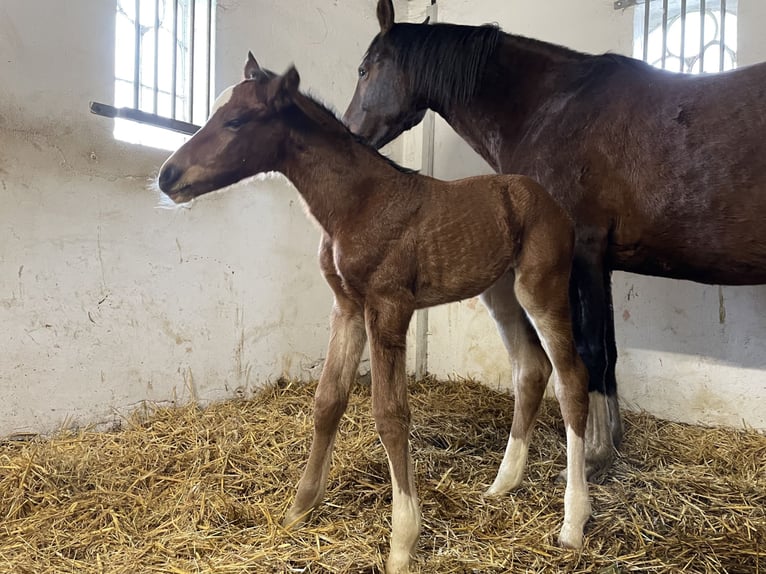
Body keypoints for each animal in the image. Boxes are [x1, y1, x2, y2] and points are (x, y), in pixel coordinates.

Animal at [344, 0, 766, 482]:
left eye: (363, 69)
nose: (348, 133)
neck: (551, 109)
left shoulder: (581, 253)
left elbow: (590, 352)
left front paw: (594, 455)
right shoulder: (600, 262)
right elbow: (608, 353)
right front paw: (610, 441)